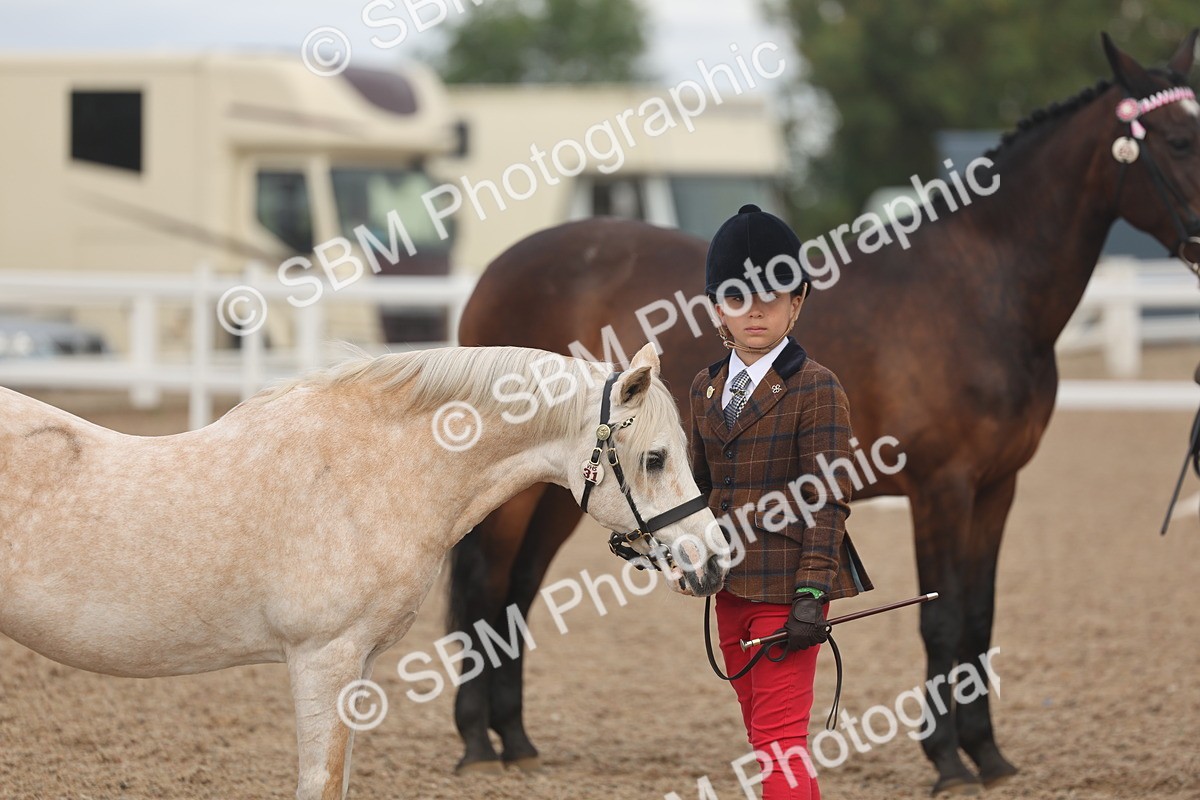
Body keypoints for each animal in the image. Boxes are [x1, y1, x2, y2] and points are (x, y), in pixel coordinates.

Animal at [0, 342, 724, 800]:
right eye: (655, 458)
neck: (362, 474)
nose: (715, 560)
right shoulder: (323, 657)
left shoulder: (356, 664)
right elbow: (319, 783)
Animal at [447, 32, 1200, 794]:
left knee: (517, 590)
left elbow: (980, 619)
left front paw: (988, 755)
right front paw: (948, 759)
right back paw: (478, 741)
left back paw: (515, 738)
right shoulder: (942, 488)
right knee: (487, 583)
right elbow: (944, 621)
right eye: (1178, 138)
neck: (980, 290)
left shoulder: (995, 488)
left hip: (569, 489)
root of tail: (499, 270)